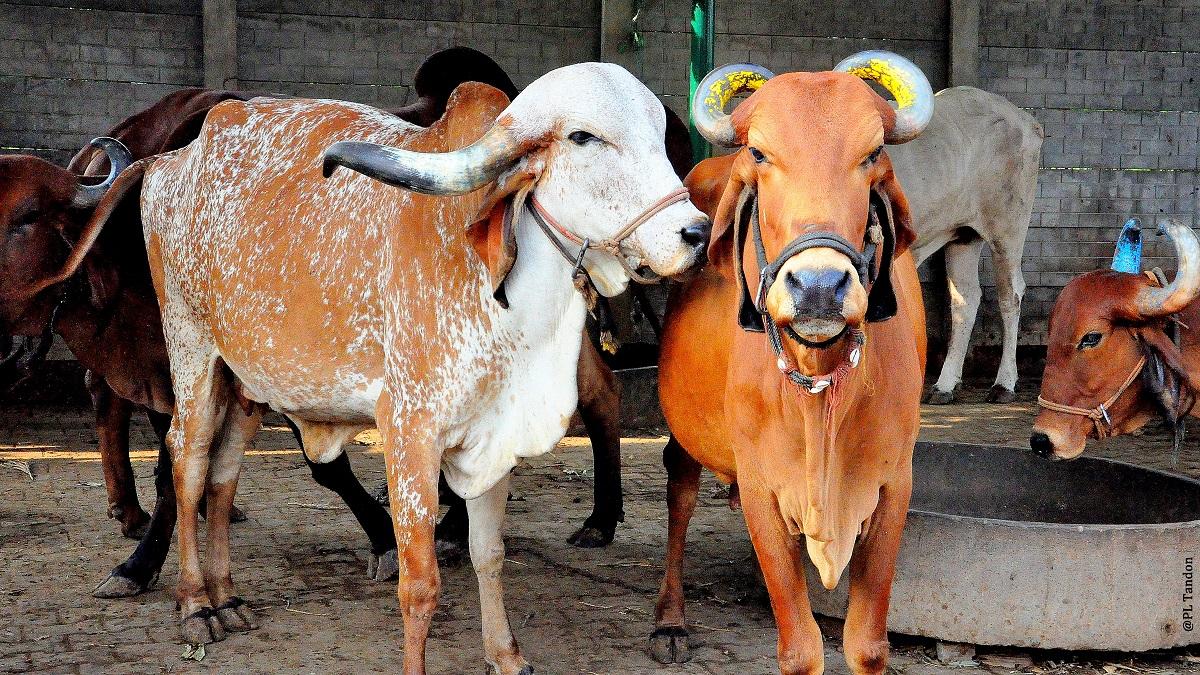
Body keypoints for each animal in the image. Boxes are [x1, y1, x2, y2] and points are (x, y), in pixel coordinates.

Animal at [131, 63, 706, 671]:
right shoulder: (410, 433)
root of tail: (173, 160)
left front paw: (505, 653)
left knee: (224, 472)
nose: (696, 233)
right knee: (189, 461)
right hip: (191, 349)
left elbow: (488, 553)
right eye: (582, 137)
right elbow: (420, 585)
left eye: (658, 133)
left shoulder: (493, 437)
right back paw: (196, 605)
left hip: (247, 382)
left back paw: (227, 595)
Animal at [650, 51, 931, 674]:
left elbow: (867, 643)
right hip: (686, 435)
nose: (819, 286)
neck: (821, 389)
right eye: (760, 153)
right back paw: (670, 620)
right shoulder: (763, 491)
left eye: (872, 153)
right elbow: (800, 647)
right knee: (679, 494)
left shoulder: (893, 487)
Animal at [687, 87, 1042, 406]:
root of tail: (1026, 120)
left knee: (1010, 295)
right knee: (965, 299)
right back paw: (945, 386)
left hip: (1007, 229)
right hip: (963, 237)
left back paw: (1004, 384)